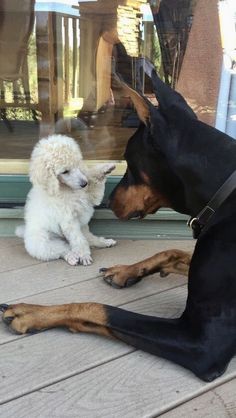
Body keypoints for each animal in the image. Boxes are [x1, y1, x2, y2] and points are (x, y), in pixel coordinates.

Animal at [15, 135, 116, 264]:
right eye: (65, 171)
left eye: (77, 164)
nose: (84, 183)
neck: (66, 188)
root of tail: (25, 233)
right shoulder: (68, 220)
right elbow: (78, 240)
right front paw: (83, 255)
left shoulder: (91, 196)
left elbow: (95, 181)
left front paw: (105, 168)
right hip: (43, 244)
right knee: (62, 250)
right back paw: (72, 257)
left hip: (83, 228)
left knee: (88, 239)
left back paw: (103, 242)